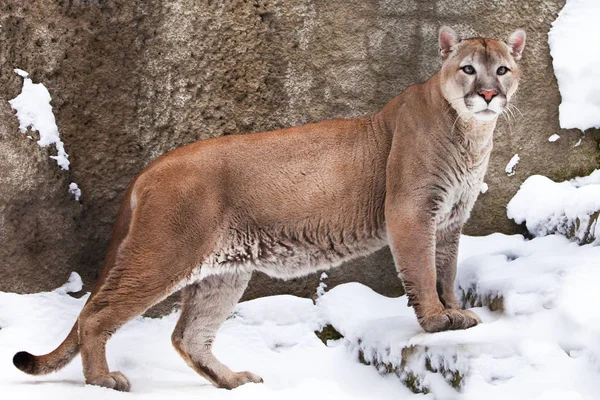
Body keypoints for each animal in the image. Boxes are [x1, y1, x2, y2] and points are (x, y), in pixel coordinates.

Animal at [14, 27, 524, 390]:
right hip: (164, 254)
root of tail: (153, 166)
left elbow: (446, 269)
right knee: (97, 315)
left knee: (188, 335)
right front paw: (437, 320)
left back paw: (233, 380)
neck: (470, 135)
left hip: (224, 271)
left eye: (501, 70)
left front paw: (455, 312)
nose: (488, 94)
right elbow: (422, 271)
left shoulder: (450, 220)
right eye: (468, 69)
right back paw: (103, 380)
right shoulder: (412, 213)